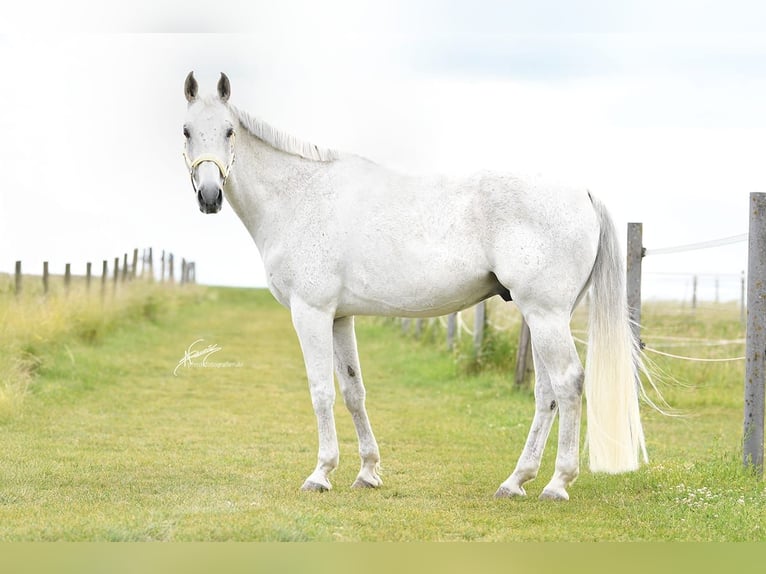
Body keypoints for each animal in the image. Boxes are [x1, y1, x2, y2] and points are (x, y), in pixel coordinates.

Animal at [181, 71, 647, 501]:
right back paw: (516, 481)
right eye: (187, 130)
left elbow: (320, 391)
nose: (209, 196)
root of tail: (582, 192)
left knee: (567, 383)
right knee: (546, 391)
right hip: (543, 317)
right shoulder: (340, 317)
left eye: (228, 131)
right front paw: (367, 472)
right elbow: (352, 391)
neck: (300, 196)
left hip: (545, 314)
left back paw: (557, 483)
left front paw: (320, 474)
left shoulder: (310, 312)